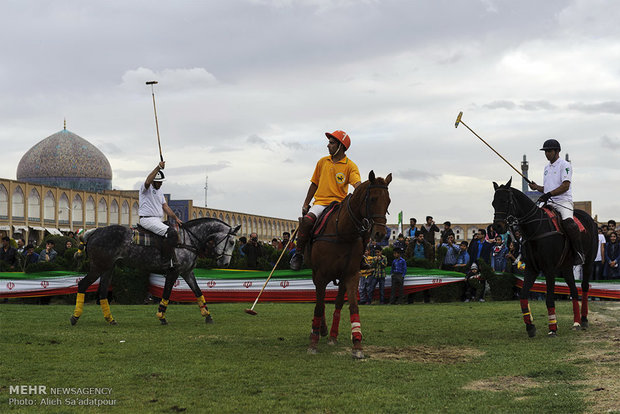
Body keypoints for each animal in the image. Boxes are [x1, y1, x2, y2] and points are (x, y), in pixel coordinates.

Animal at [71, 218, 240, 326]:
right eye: (232, 242)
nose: (225, 263)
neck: (188, 240)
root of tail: (94, 232)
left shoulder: (187, 272)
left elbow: (198, 292)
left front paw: (207, 316)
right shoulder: (174, 271)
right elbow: (166, 293)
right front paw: (161, 316)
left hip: (108, 268)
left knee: (102, 293)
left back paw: (110, 319)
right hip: (98, 267)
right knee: (83, 285)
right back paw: (75, 317)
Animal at [306, 170, 392, 358]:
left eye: (388, 201)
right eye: (373, 199)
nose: (380, 233)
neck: (342, 231)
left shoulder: (351, 274)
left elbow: (353, 306)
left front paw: (357, 345)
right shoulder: (321, 274)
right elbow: (319, 305)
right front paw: (313, 342)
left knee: (337, 303)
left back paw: (332, 335)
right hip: (316, 273)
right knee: (320, 302)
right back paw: (319, 329)